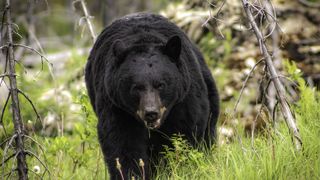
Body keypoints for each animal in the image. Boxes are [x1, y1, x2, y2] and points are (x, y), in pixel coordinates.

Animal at [85, 12, 219, 179]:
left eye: (161, 84)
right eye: (136, 87)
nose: (151, 113)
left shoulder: (184, 100)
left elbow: (185, 134)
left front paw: (178, 169)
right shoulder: (116, 106)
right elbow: (122, 144)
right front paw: (132, 174)